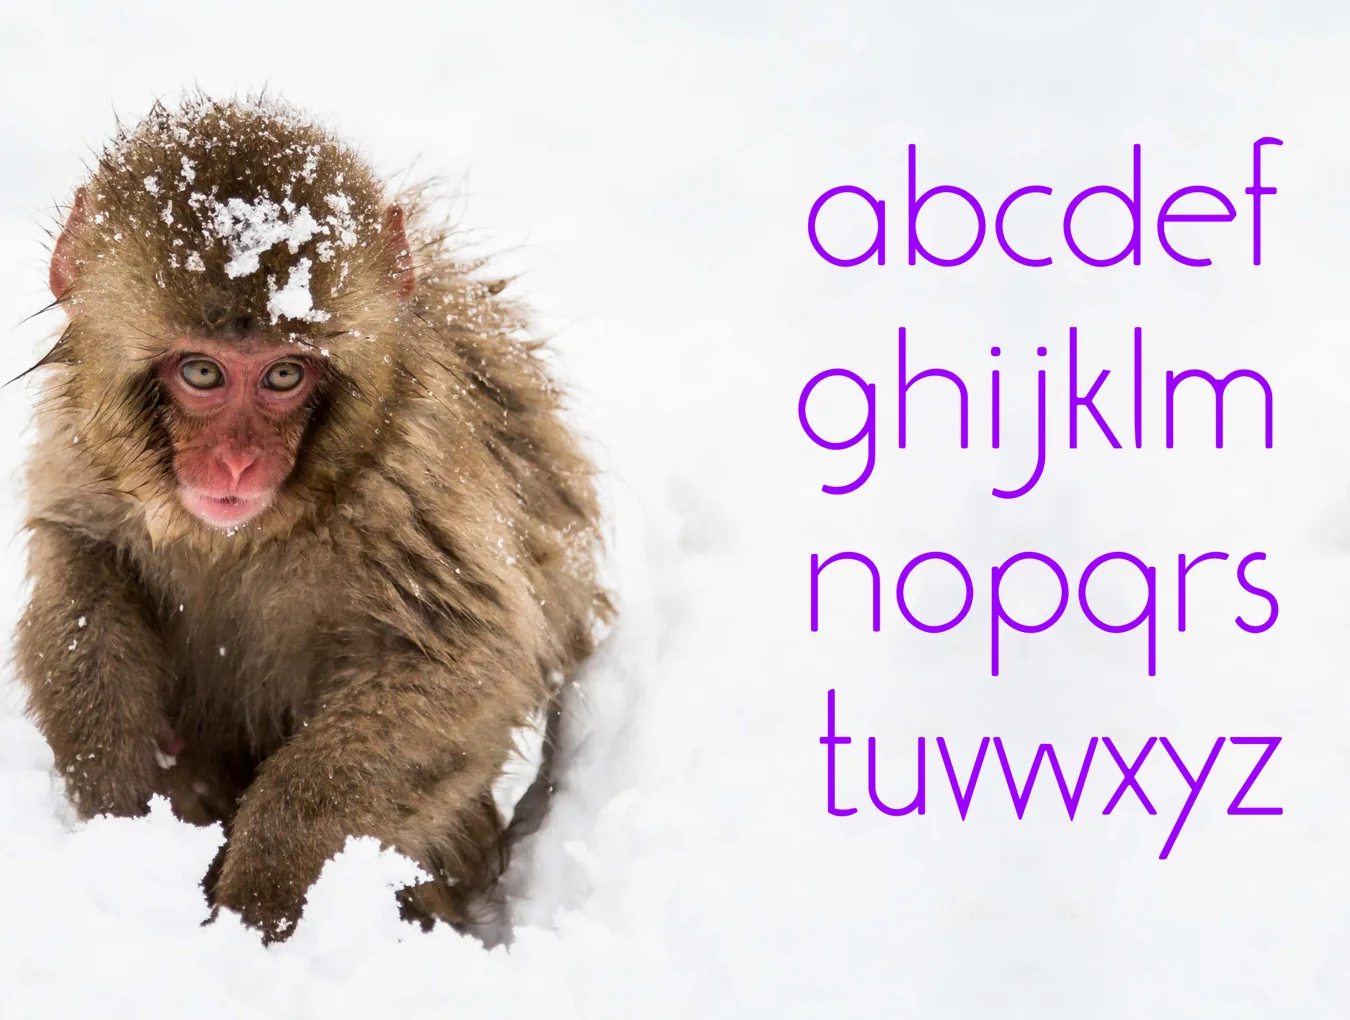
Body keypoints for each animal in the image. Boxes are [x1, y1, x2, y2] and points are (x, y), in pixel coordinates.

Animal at [15, 95, 609, 943]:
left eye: (284, 375)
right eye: (203, 372)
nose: (236, 465)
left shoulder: (414, 483)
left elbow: (467, 661)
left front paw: (261, 894)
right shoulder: (84, 452)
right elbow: (82, 564)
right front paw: (118, 805)